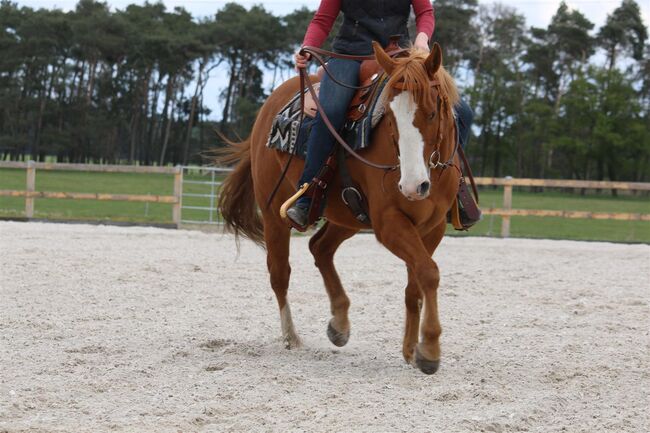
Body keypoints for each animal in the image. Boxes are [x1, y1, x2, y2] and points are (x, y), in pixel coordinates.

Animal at [220, 44, 458, 374]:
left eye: (432, 112)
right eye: (390, 118)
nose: (412, 186)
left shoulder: (433, 227)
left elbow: (419, 281)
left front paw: (413, 349)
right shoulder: (389, 224)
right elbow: (429, 272)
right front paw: (431, 349)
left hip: (347, 217)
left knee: (320, 248)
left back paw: (340, 323)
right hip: (272, 213)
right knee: (280, 273)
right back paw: (291, 336)